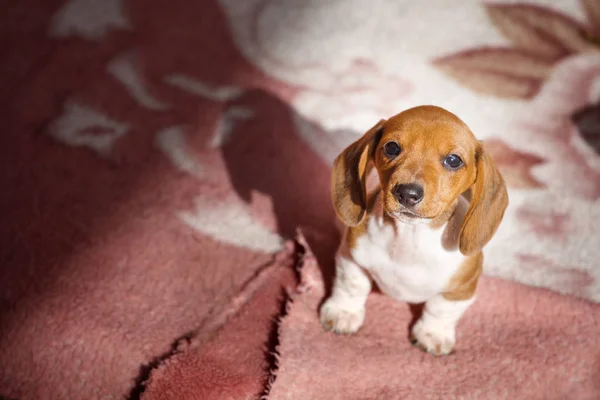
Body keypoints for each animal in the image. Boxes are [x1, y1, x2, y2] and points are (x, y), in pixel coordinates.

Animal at [318, 104, 506, 354]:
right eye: (391, 147)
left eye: (453, 160)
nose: (407, 193)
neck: (410, 237)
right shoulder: (351, 256)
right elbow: (352, 285)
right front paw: (343, 312)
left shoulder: (462, 288)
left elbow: (441, 309)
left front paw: (433, 334)